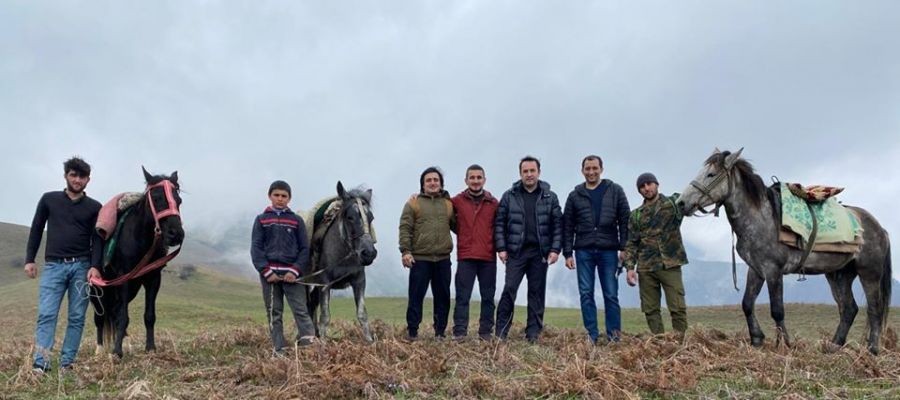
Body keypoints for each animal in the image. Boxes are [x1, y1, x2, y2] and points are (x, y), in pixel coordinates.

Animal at [306, 183, 376, 342]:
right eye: (350, 217)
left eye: (371, 217)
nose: (369, 253)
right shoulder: (325, 284)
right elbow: (325, 316)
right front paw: (323, 344)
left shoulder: (359, 281)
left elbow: (362, 314)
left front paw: (369, 342)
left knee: (312, 305)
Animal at [680, 149, 888, 354]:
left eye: (711, 174)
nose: (682, 203)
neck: (761, 219)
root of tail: (879, 228)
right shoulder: (756, 269)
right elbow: (747, 304)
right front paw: (757, 339)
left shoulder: (773, 270)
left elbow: (777, 310)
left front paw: (785, 344)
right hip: (839, 274)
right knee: (849, 309)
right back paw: (833, 346)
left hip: (869, 273)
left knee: (874, 309)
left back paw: (872, 349)